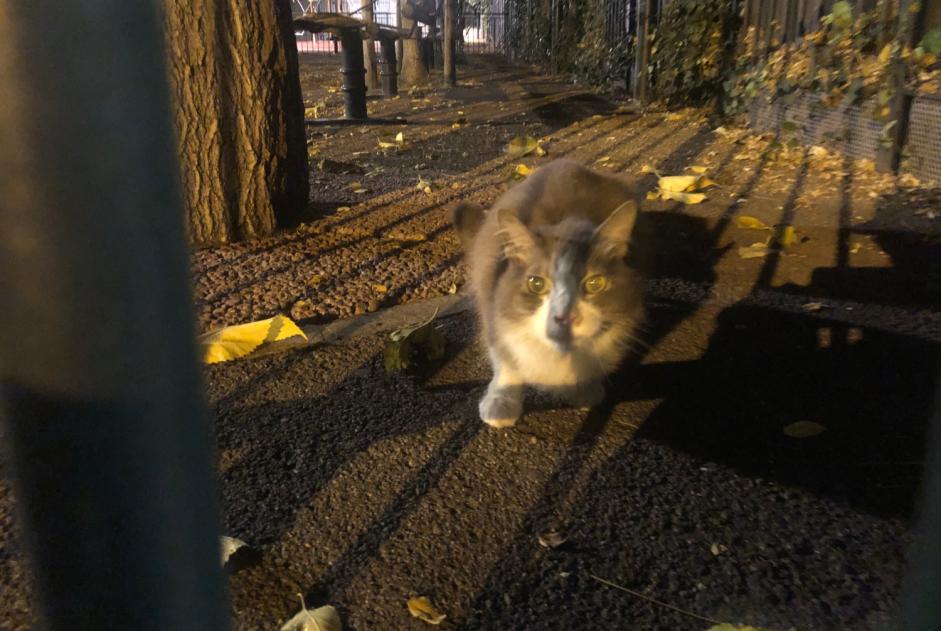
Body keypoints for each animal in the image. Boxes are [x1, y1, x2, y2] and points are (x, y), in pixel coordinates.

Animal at [450, 159, 644, 430]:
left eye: (595, 283)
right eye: (536, 283)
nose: (565, 317)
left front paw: (584, 387)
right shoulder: (493, 308)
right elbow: (506, 362)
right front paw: (501, 401)